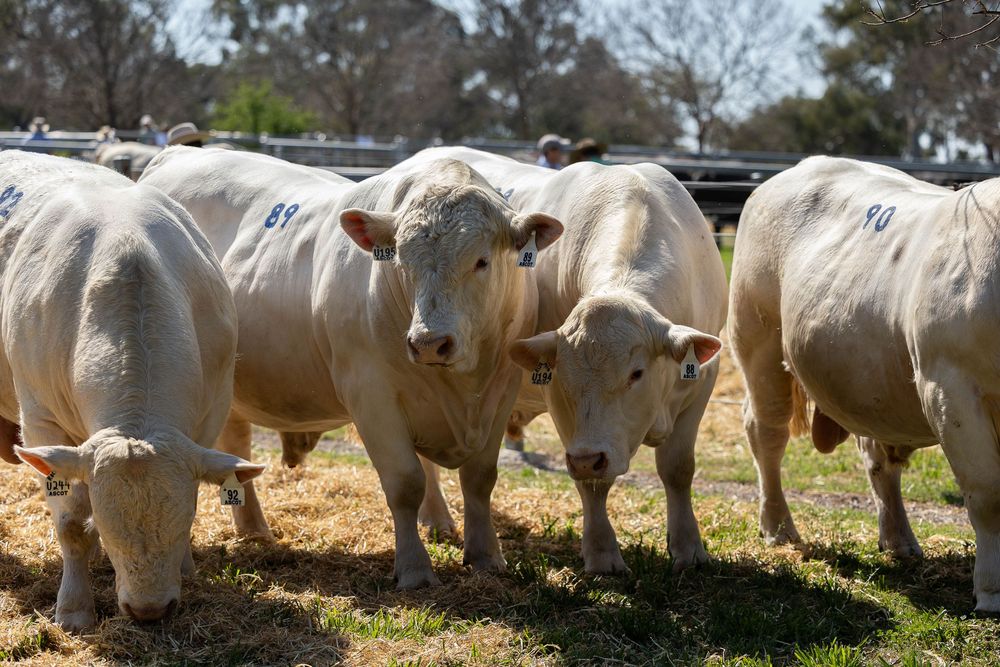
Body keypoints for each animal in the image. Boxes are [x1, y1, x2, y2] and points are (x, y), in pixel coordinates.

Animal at [0, 151, 260, 631]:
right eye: (106, 527)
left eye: (186, 519)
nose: (149, 611)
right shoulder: (41, 420)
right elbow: (71, 525)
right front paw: (74, 608)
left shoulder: (211, 413)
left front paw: (186, 567)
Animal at [139, 147, 563, 588]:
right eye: (402, 261)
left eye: (481, 261)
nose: (429, 342)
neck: (461, 386)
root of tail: (180, 152)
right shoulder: (370, 395)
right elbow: (405, 482)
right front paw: (415, 568)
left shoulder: (501, 390)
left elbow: (479, 478)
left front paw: (485, 558)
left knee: (236, 445)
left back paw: (254, 530)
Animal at [405, 147, 727, 573]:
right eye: (565, 379)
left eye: (636, 373)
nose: (589, 457)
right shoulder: (563, 411)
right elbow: (593, 483)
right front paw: (602, 553)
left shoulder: (703, 381)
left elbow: (677, 468)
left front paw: (689, 547)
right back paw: (437, 517)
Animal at [728, 155, 1000, 613]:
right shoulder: (951, 389)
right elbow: (986, 492)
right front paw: (991, 591)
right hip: (759, 343)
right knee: (766, 434)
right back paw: (779, 528)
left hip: (868, 380)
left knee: (876, 457)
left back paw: (898, 539)